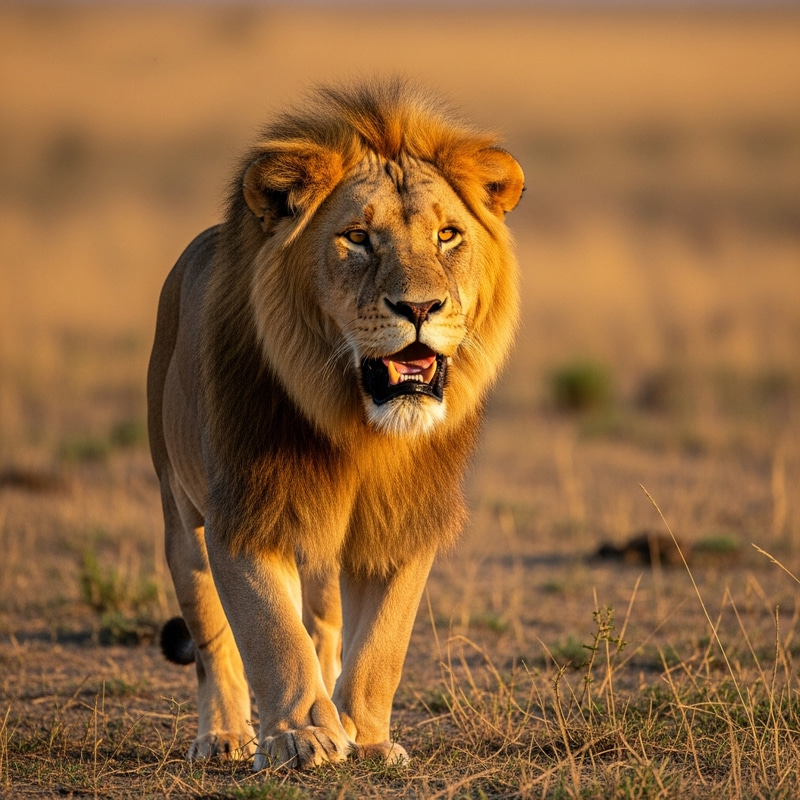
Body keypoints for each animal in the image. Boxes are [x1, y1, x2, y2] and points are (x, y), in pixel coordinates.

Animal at [147, 78, 524, 770]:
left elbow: (381, 643)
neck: (359, 429)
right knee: (212, 635)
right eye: (357, 238)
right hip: (179, 510)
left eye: (448, 235)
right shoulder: (247, 510)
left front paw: (364, 736)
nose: (421, 307)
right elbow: (269, 631)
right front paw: (301, 735)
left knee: (321, 623)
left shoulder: (402, 521)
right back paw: (224, 736)